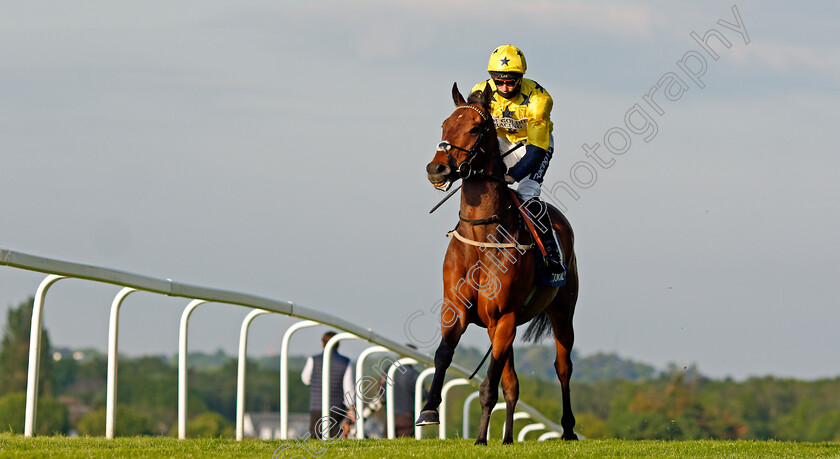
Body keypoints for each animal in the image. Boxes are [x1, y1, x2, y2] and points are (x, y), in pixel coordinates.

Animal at [414, 83, 576, 446]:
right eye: (445, 125)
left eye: (475, 129)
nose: (436, 169)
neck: (482, 232)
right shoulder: (456, 309)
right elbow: (444, 355)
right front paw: (429, 409)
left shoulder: (504, 316)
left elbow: (489, 383)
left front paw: (479, 438)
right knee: (512, 383)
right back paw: (508, 438)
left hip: (560, 312)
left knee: (563, 368)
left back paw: (569, 429)